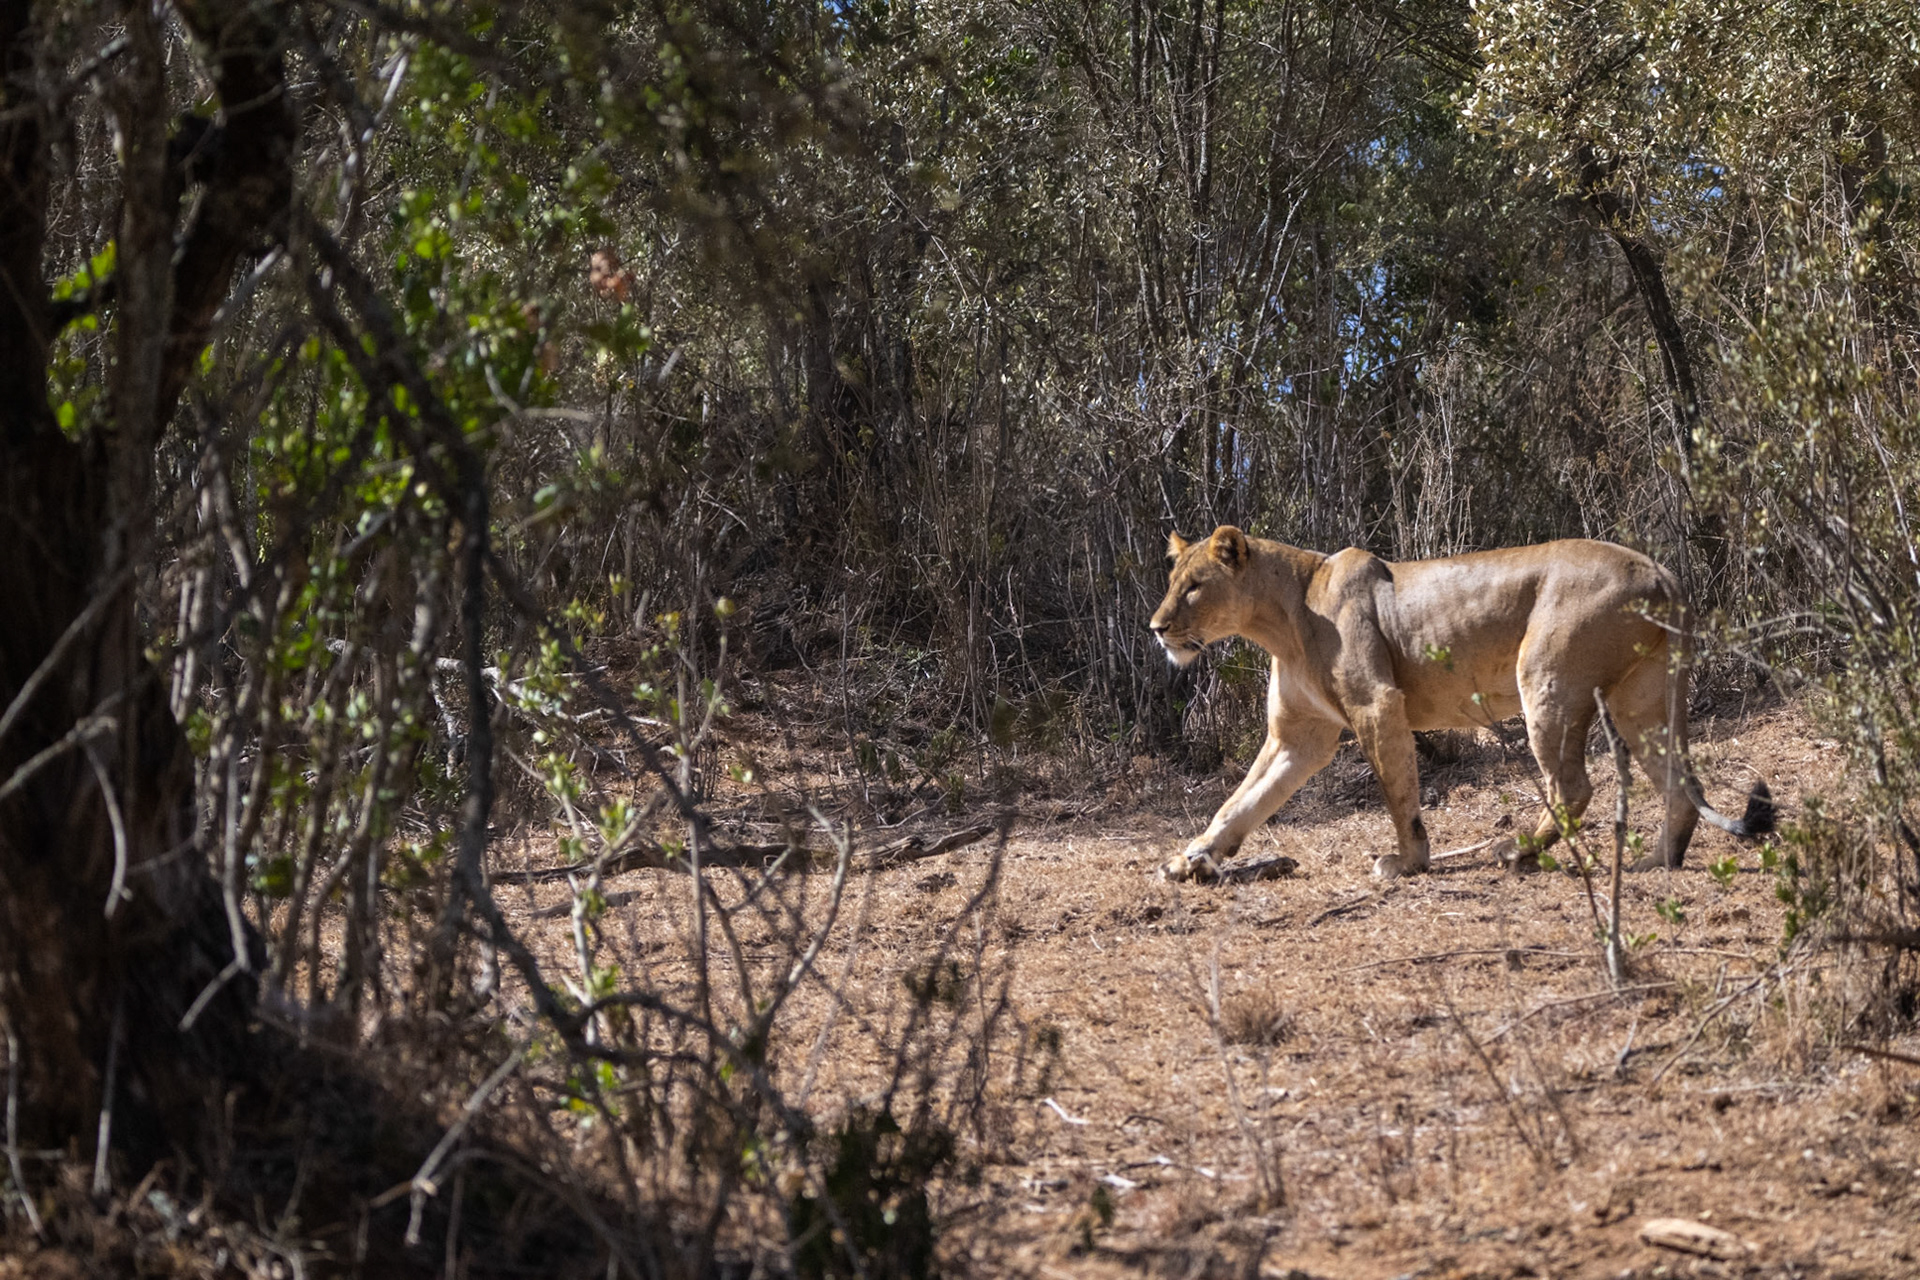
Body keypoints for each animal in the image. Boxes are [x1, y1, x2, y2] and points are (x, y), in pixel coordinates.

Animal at [1149, 526, 1774, 882]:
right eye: (1173, 581)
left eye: (1194, 586)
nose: (1156, 628)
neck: (1282, 617)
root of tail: (1663, 571)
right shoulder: (1298, 737)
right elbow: (1240, 803)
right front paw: (1192, 858)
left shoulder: (1377, 704)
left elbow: (1399, 794)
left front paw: (1407, 863)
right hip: (1640, 698)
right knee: (1678, 782)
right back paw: (1657, 861)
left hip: (1545, 676)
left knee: (1574, 786)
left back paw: (1517, 853)